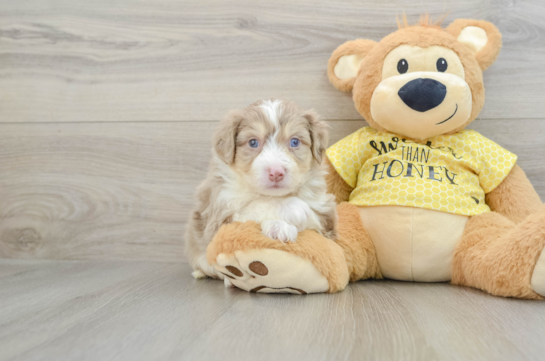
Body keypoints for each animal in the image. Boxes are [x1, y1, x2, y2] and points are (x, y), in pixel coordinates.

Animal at [188, 98, 340, 278]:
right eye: (253, 142)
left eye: (294, 141)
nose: (276, 172)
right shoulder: (216, 219)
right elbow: (253, 207)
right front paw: (289, 213)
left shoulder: (325, 216)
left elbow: (314, 220)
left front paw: (285, 224)